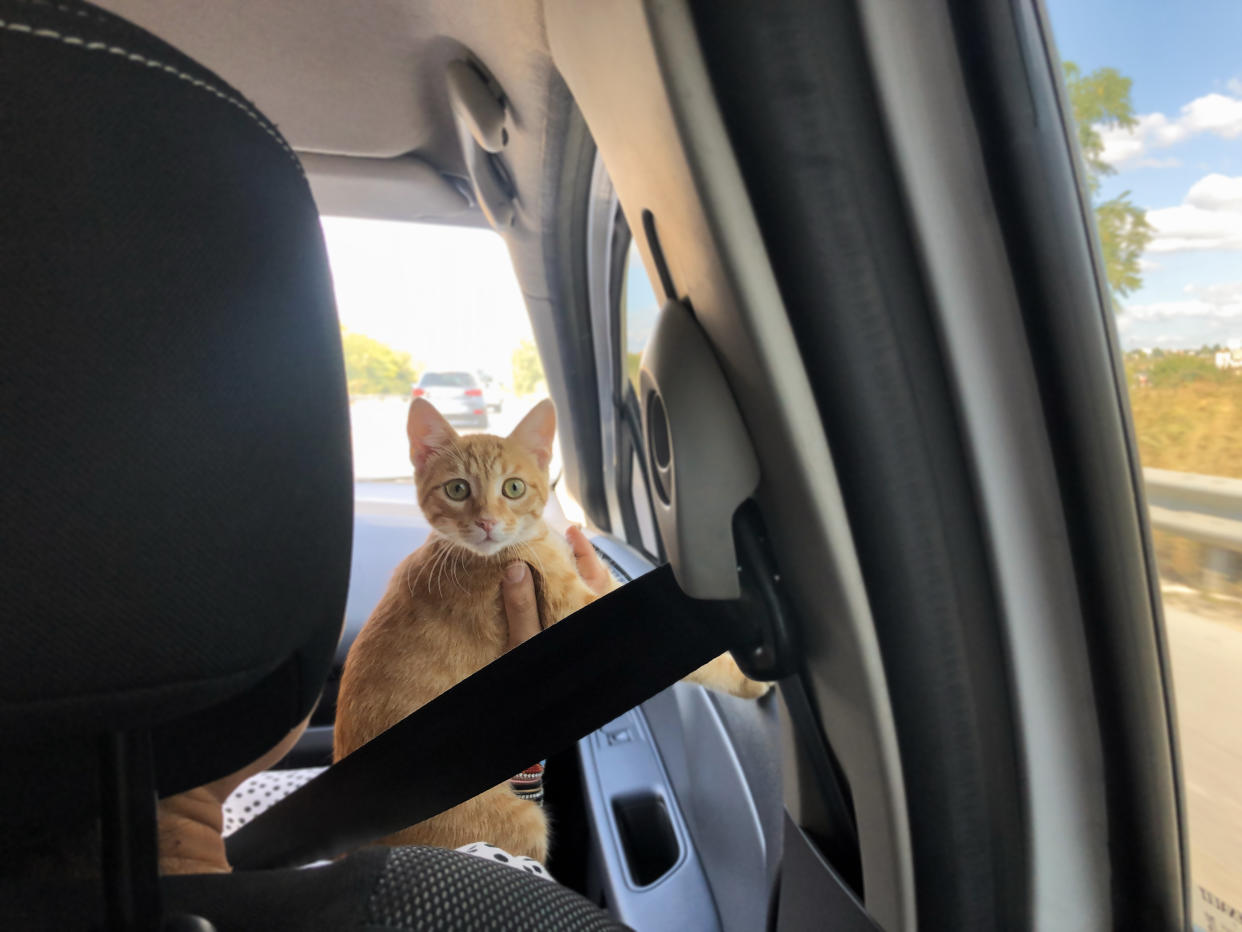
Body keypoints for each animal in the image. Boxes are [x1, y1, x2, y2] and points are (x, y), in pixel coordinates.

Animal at [335, 397, 770, 864]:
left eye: (513, 488)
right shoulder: (578, 612)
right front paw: (748, 679)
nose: (487, 523)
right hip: (519, 822)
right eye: (457, 490)